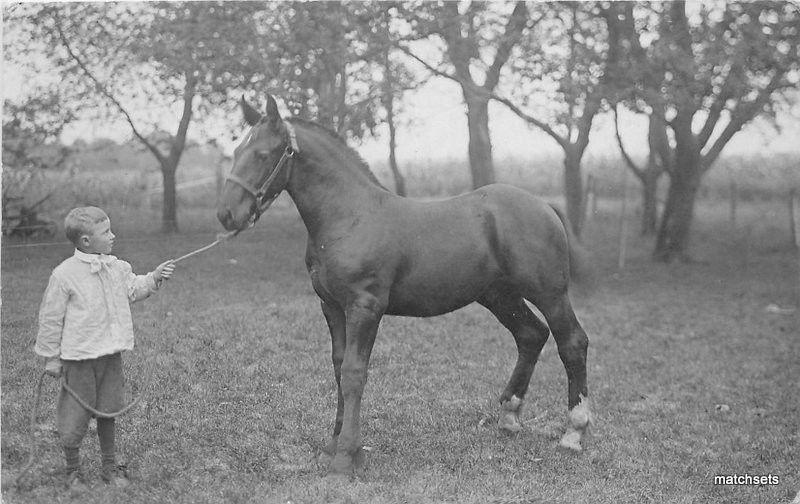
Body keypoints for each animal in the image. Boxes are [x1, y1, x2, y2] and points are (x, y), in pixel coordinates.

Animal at [216, 94, 592, 476]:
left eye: (263, 154)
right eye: (236, 151)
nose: (227, 215)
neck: (350, 217)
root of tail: (545, 206)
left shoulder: (365, 307)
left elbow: (354, 372)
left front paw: (346, 458)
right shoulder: (331, 306)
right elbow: (339, 368)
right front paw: (334, 447)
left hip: (550, 294)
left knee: (571, 342)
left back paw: (573, 432)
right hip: (499, 296)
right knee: (531, 335)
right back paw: (509, 417)